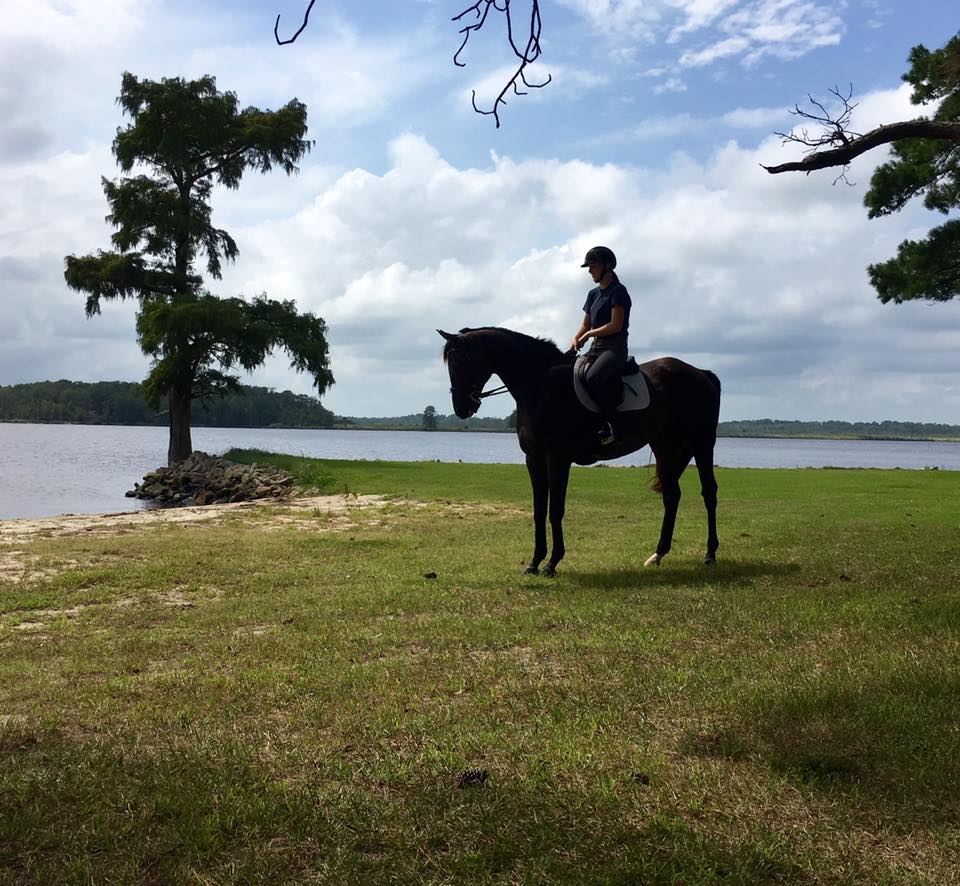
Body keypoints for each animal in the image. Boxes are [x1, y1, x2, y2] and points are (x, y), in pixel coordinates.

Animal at [440, 326, 720, 576]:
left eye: (462, 360)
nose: (461, 407)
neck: (541, 386)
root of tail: (701, 373)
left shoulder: (557, 459)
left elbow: (555, 511)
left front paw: (552, 563)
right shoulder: (534, 460)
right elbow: (539, 511)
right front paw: (534, 562)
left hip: (702, 443)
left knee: (709, 493)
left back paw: (710, 554)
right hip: (664, 445)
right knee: (672, 496)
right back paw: (658, 554)